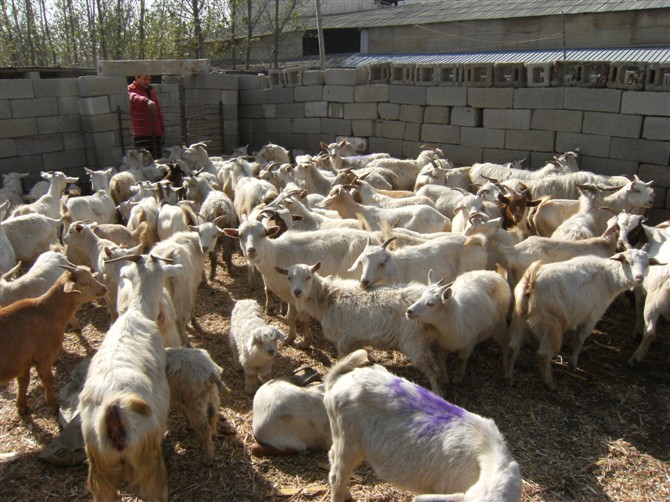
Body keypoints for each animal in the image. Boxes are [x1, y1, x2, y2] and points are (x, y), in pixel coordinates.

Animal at [0, 266, 107, 416]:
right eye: (84, 283)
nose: (104, 289)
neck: (47, 312)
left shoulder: (24, 361)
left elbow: (23, 381)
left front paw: (22, 407)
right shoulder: (43, 356)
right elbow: (47, 379)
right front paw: (53, 405)